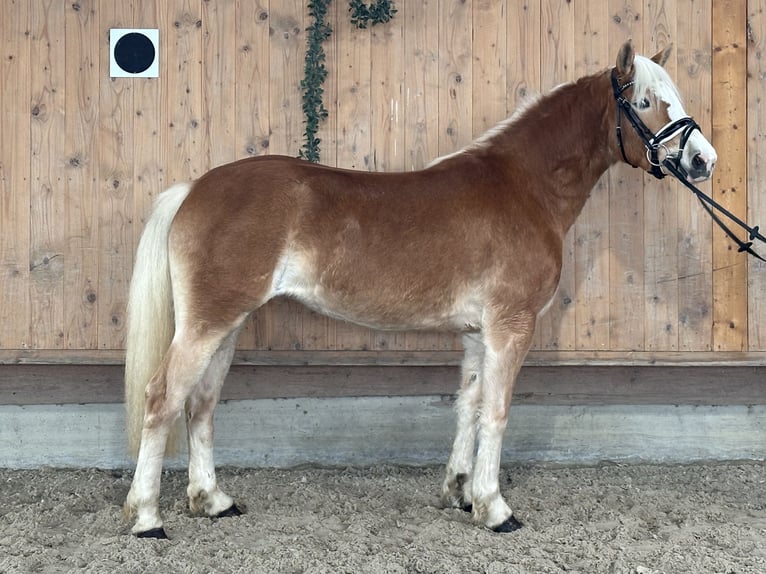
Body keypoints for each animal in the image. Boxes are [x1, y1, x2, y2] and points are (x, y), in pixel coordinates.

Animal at [124, 41, 720, 540]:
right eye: (645, 101)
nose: (703, 161)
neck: (523, 187)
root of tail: (194, 189)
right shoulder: (511, 326)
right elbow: (497, 412)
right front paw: (495, 508)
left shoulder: (479, 334)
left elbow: (469, 407)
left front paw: (461, 493)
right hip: (207, 324)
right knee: (163, 398)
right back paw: (148, 517)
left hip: (228, 324)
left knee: (200, 404)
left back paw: (212, 501)